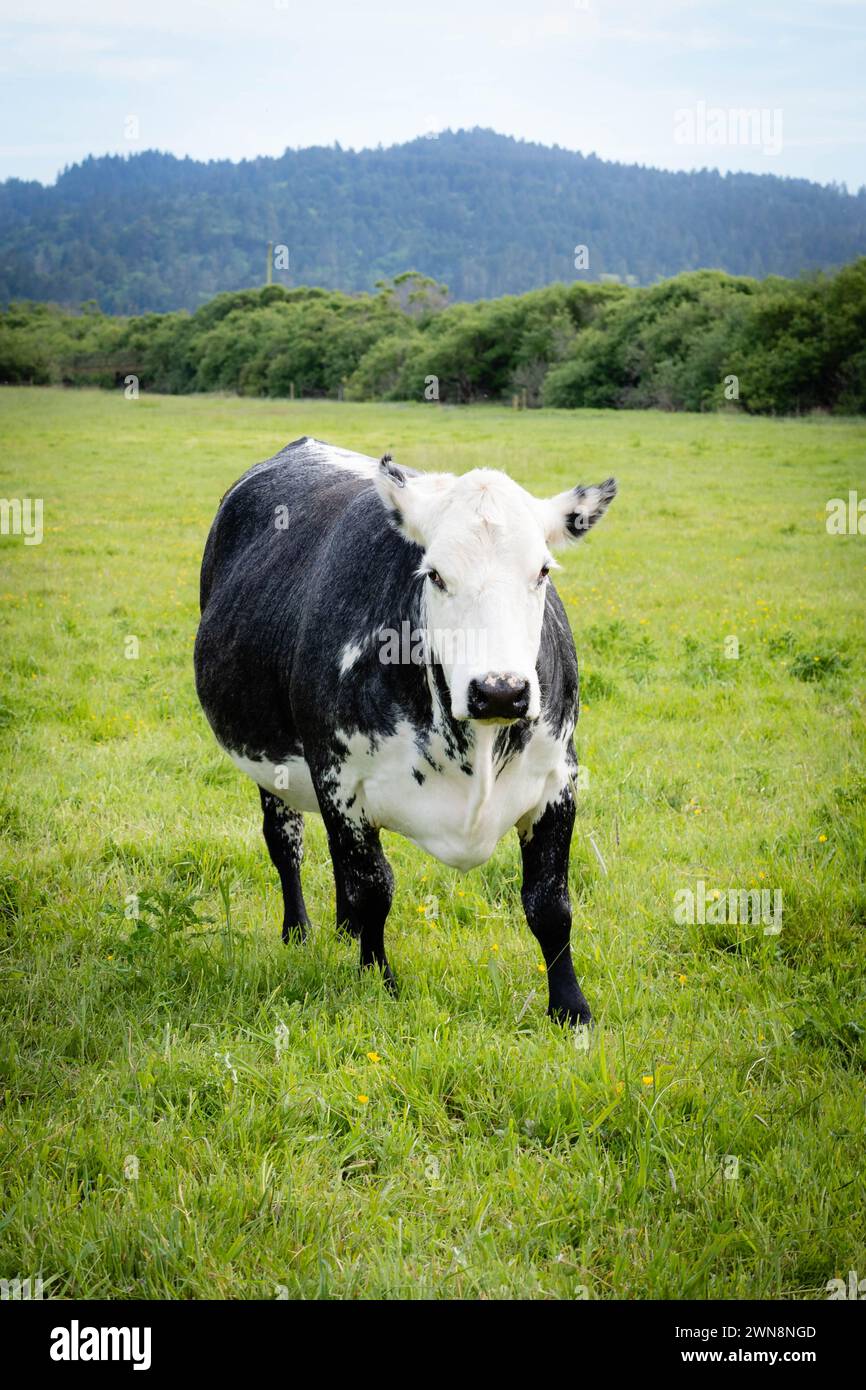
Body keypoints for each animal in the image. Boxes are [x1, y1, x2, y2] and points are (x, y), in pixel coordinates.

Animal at [194, 437, 616, 1026]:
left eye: (542, 571)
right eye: (435, 574)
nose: (500, 690)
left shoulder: (559, 780)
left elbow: (550, 904)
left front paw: (571, 1009)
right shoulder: (339, 780)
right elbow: (374, 888)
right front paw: (379, 982)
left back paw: (343, 930)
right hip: (272, 765)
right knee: (287, 843)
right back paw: (299, 932)